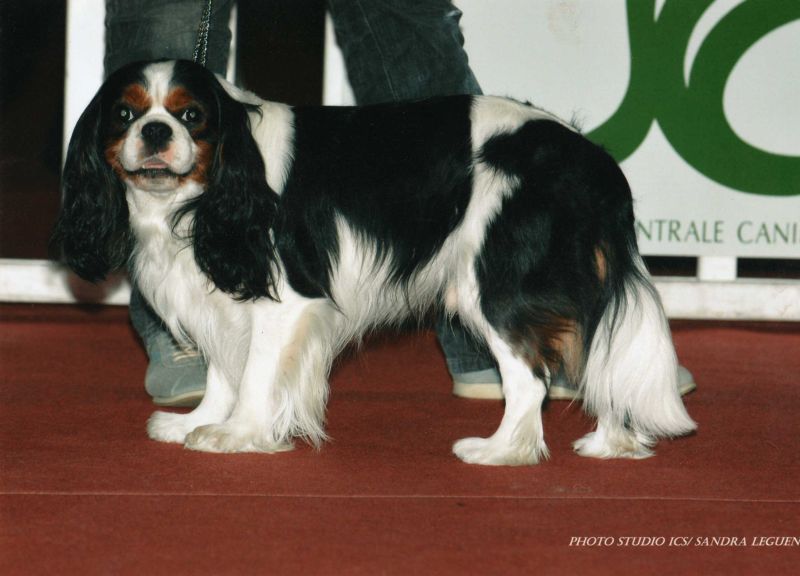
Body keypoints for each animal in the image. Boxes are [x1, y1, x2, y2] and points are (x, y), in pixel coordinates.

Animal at [53, 59, 696, 464]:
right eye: (125, 115)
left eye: (190, 117)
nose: (156, 132)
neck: (209, 190)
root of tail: (589, 156)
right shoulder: (223, 290)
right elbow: (222, 368)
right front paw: (198, 421)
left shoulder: (287, 299)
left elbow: (254, 372)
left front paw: (238, 434)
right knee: (596, 357)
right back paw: (612, 444)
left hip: (493, 286)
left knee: (530, 379)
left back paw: (501, 452)